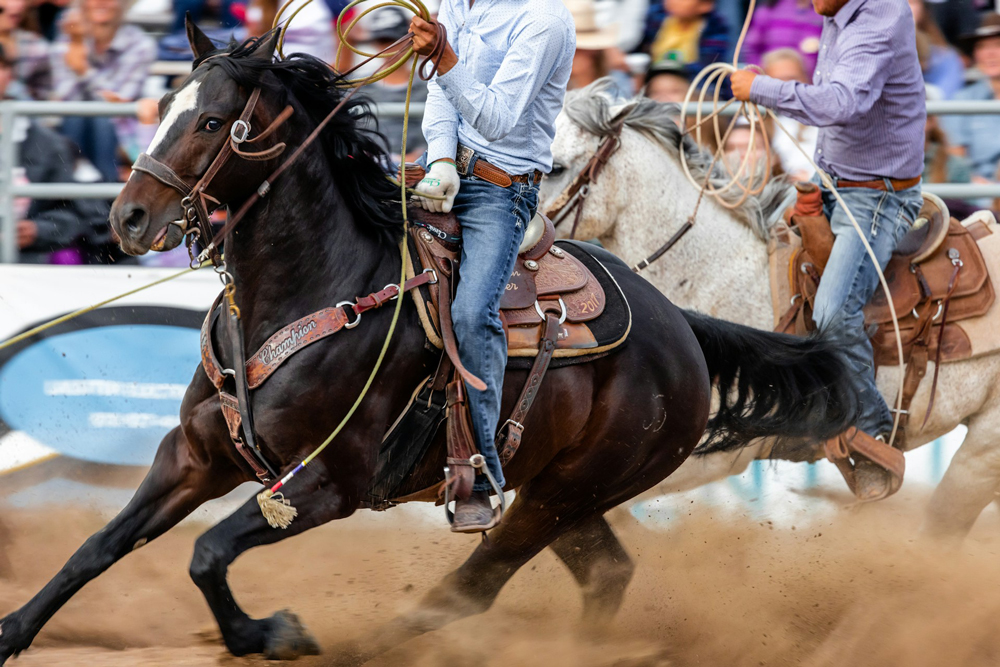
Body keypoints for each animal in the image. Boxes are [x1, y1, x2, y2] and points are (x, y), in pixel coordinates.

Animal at [0, 28, 860, 664]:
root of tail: (681, 326)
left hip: (565, 491)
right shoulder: (193, 456)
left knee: (473, 585)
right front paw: (13, 630)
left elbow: (207, 551)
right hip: (564, 492)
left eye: (216, 122)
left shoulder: (325, 483)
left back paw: (358, 645)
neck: (313, 289)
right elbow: (98, 545)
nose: (129, 217)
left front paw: (271, 631)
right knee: (605, 572)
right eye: (165, 106)